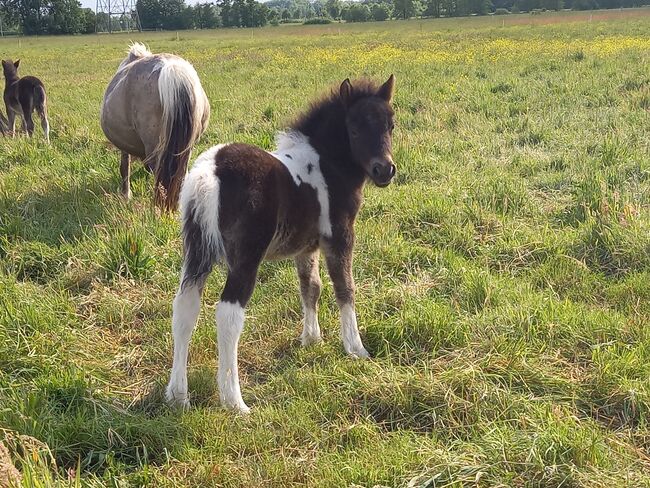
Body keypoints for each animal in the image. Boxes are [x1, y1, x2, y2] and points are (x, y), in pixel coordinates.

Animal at [165, 75, 397, 413]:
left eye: (391, 124)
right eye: (353, 128)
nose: (385, 170)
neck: (326, 164)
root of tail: (210, 173)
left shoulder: (305, 246)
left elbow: (311, 287)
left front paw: (311, 339)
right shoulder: (339, 235)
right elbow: (345, 288)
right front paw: (355, 348)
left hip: (196, 252)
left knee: (185, 307)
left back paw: (178, 395)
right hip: (245, 258)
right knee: (228, 315)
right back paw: (234, 401)